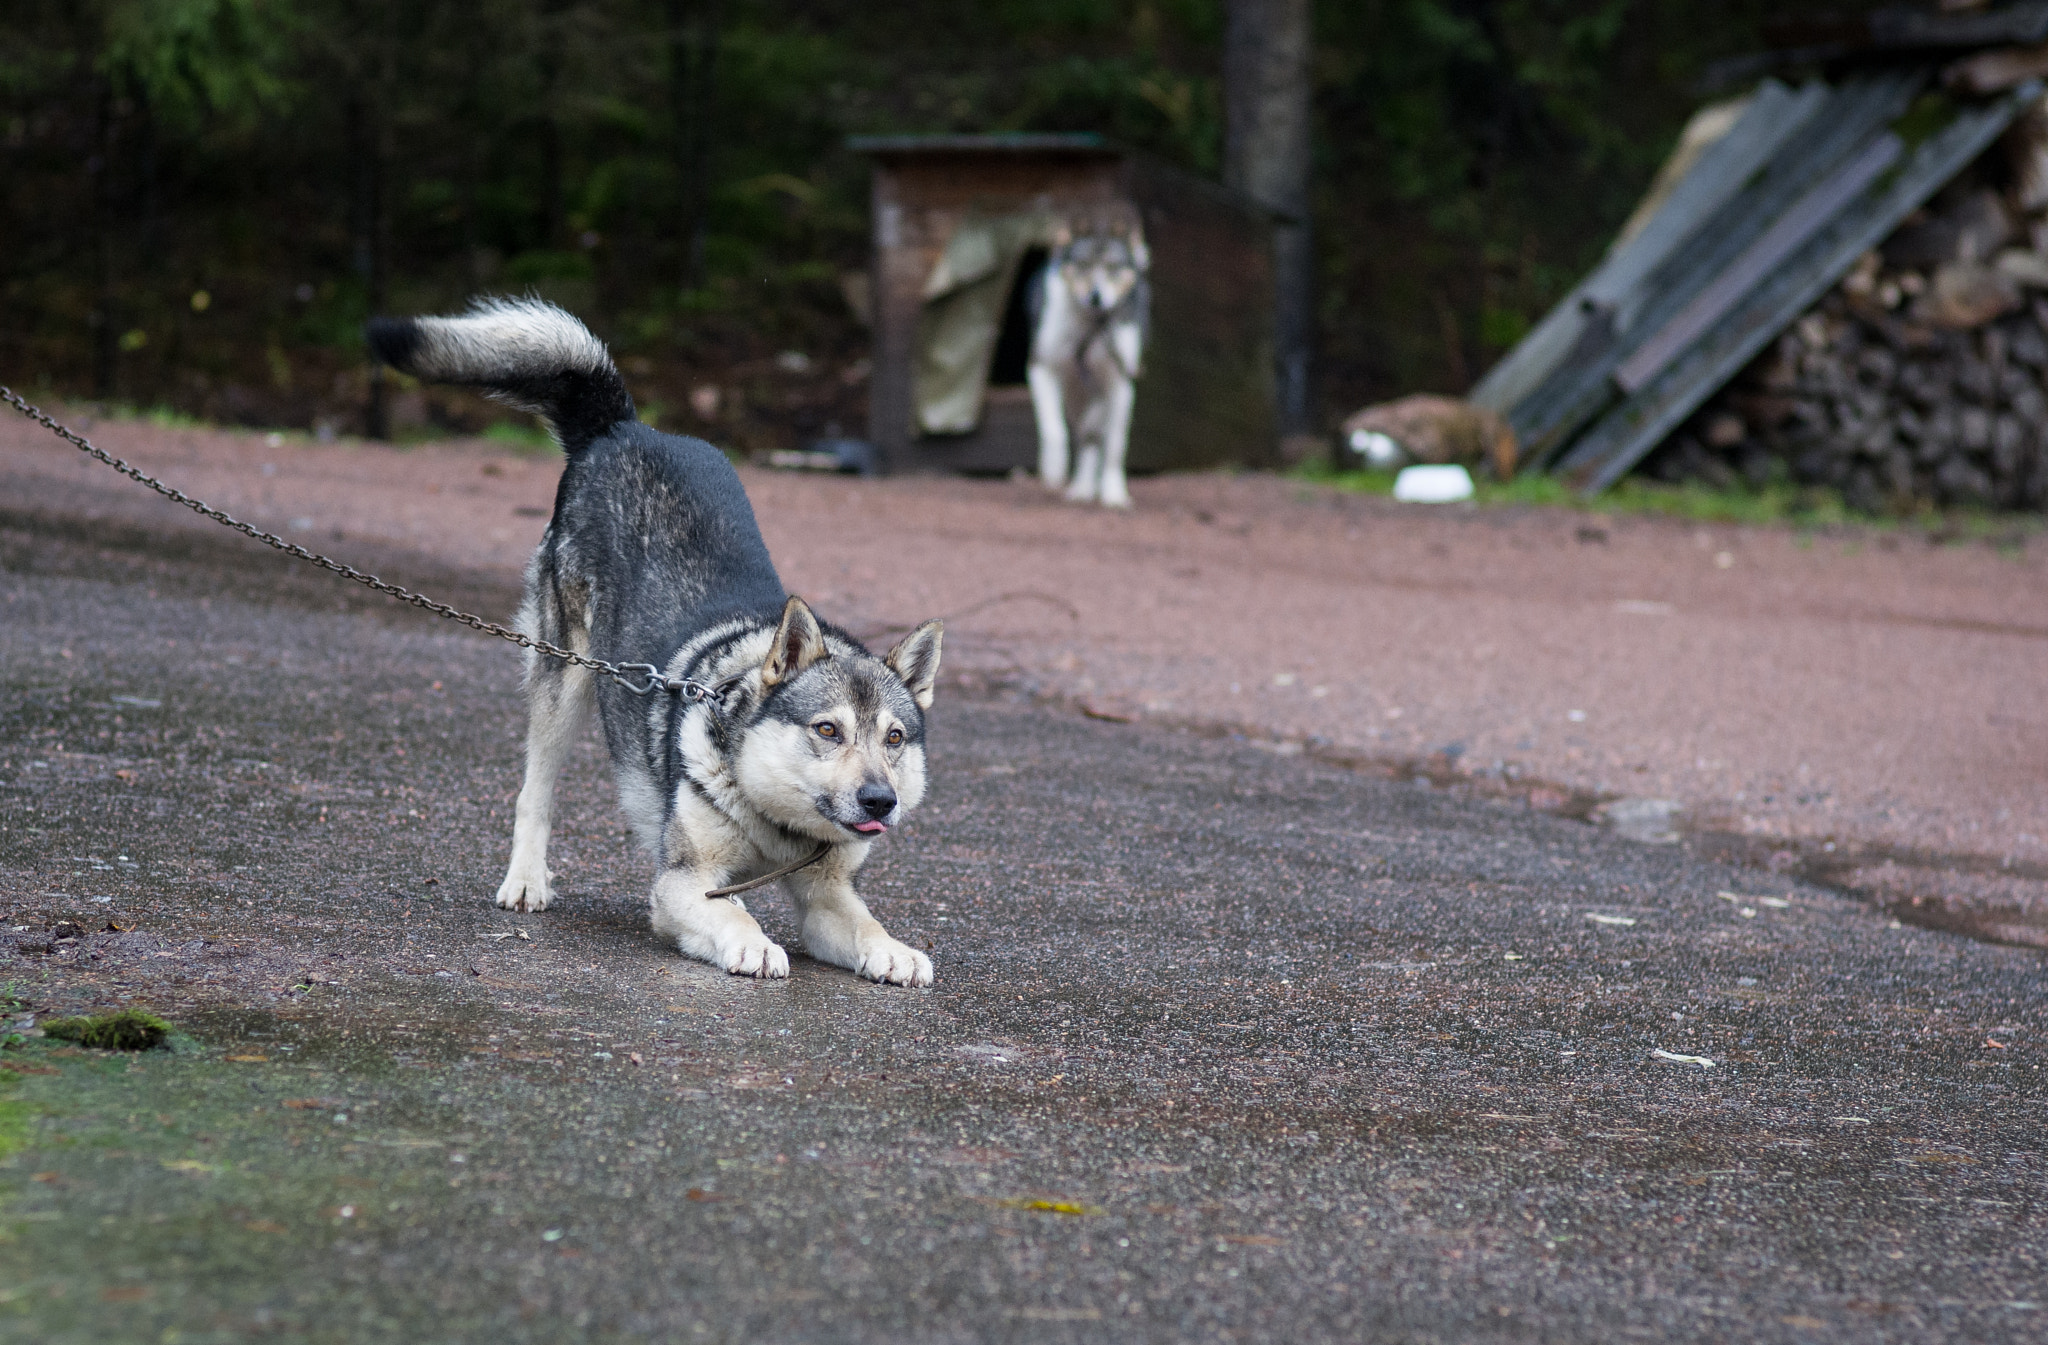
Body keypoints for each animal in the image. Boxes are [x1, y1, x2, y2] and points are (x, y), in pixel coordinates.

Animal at [370, 298, 942, 982]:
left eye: (895, 738)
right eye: (827, 730)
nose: (881, 801)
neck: (776, 827)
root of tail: (623, 428)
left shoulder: (827, 897)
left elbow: (866, 926)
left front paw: (895, 952)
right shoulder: (680, 884)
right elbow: (732, 915)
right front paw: (752, 942)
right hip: (563, 682)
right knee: (534, 793)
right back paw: (527, 882)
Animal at [1024, 228, 1155, 505]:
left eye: (1113, 268)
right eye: (1083, 265)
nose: (1096, 297)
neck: (1091, 325)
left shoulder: (1120, 383)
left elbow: (1115, 444)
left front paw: (1114, 492)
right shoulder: (1042, 368)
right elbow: (1054, 428)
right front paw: (1054, 467)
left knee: (1097, 433)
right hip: (1075, 392)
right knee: (1086, 436)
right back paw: (1082, 487)